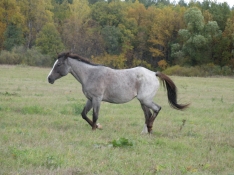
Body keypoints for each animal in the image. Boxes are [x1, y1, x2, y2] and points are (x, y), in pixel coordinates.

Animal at [47, 52, 188, 134]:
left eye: (58, 64)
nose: (49, 79)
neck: (91, 75)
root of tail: (154, 73)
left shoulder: (97, 99)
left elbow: (95, 115)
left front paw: (95, 128)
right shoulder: (90, 99)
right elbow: (84, 114)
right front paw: (97, 127)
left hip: (145, 100)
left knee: (157, 109)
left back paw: (150, 128)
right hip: (143, 102)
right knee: (148, 114)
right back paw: (146, 132)